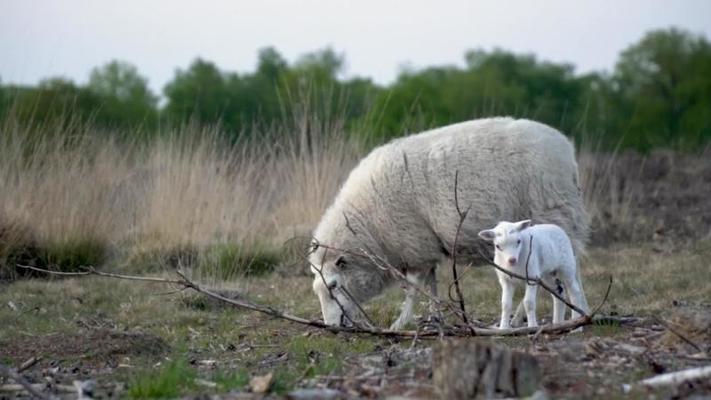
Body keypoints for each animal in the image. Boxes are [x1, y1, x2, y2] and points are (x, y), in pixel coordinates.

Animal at [310, 117, 588, 330]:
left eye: (334, 286)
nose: (331, 326)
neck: (369, 225)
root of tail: (569, 153)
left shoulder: (414, 245)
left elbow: (413, 290)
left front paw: (400, 323)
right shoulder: (425, 247)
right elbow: (432, 286)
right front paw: (435, 317)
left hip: (553, 215)